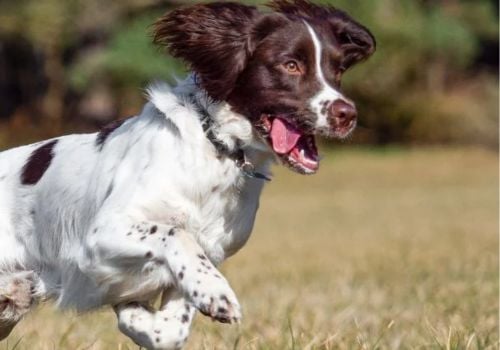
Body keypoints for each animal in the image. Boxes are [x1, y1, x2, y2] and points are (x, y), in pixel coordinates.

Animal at [0, 1, 376, 348]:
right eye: (291, 65)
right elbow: (175, 233)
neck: (217, 152)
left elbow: (169, 328)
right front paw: (216, 292)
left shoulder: (208, 251)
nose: (347, 114)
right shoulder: (103, 231)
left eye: (337, 70)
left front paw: (138, 313)